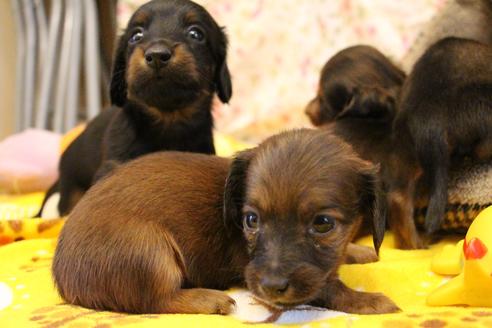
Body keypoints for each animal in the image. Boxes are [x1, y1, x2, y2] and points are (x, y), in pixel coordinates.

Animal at [52, 129, 400, 316]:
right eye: (251, 219)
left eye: (323, 224)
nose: (271, 286)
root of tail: (64, 279)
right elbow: (328, 288)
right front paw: (368, 300)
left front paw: (360, 251)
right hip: (147, 251)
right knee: (156, 299)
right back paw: (208, 299)